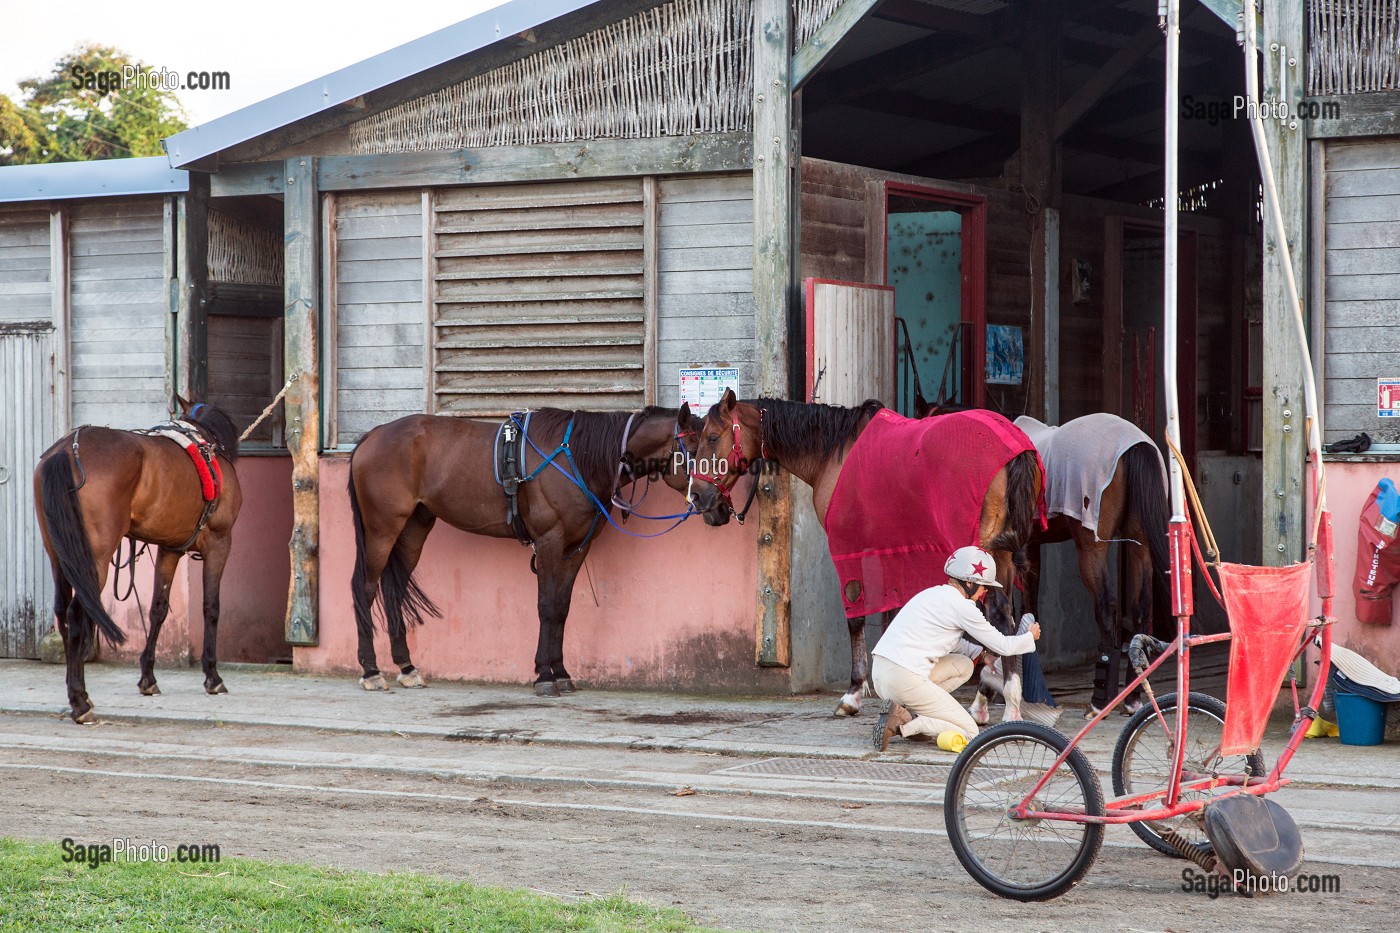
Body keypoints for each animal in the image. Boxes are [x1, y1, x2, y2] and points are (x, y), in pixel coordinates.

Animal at [34, 395, 243, 722]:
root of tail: (68, 449)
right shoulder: (220, 543)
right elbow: (211, 607)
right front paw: (212, 676)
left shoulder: (170, 549)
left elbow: (158, 609)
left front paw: (148, 677)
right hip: (94, 559)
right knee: (76, 613)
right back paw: (80, 702)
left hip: (59, 554)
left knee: (61, 611)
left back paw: (78, 695)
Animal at [694, 389, 1047, 714]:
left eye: (712, 437)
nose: (698, 497)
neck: (834, 453)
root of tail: (1015, 445)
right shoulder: (892, 552)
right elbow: (895, 611)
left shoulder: (850, 552)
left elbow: (856, 616)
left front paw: (853, 692)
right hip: (999, 557)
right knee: (1004, 616)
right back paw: (988, 700)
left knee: (996, 614)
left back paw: (1004, 704)